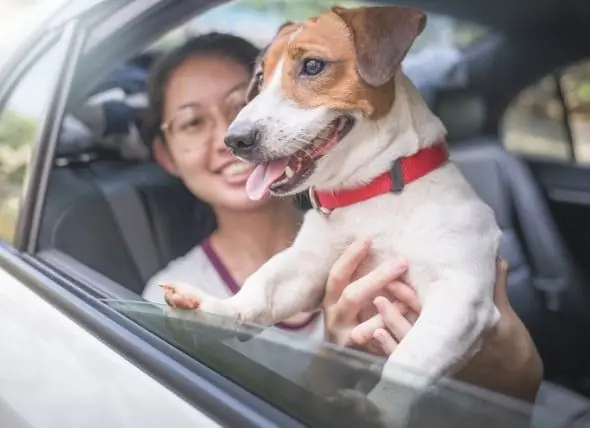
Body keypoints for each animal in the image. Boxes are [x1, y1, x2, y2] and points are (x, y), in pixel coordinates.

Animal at [161, 5, 524, 424]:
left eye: (313, 66)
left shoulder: (461, 293)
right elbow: (262, 284)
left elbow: (409, 358)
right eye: (260, 77)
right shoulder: (309, 267)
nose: (235, 140)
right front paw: (219, 308)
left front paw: (376, 411)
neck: (373, 192)